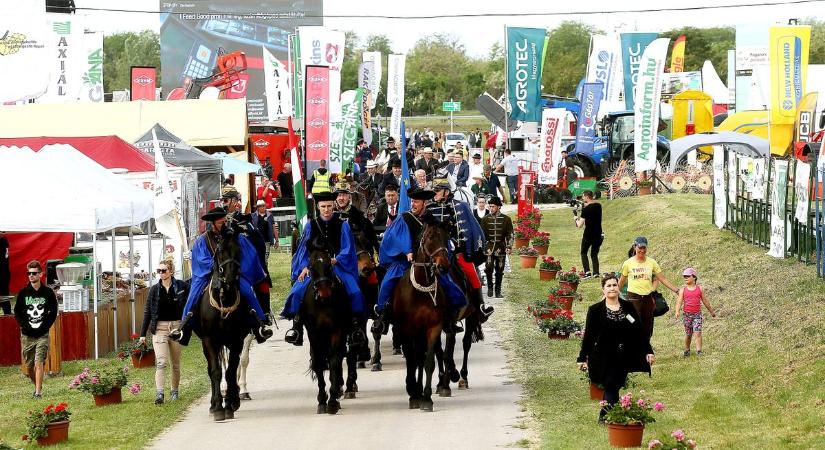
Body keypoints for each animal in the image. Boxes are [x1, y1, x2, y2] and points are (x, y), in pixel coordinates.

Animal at [195, 229, 249, 422]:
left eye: (239, 251)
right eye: (219, 251)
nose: (231, 280)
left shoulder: (236, 340)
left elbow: (231, 371)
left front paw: (231, 404)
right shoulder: (209, 340)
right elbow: (216, 371)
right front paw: (218, 407)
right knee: (212, 369)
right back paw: (213, 404)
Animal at [302, 244, 354, 414]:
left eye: (329, 265)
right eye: (311, 266)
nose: (324, 291)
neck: (323, 303)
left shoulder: (337, 331)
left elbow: (334, 361)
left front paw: (332, 401)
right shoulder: (313, 333)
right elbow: (318, 363)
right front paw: (321, 400)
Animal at [388, 221, 450, 412]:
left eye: (446, 237)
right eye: (430, 238)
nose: (443, 266)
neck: (422, 289)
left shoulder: (433, 327)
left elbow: (428, 362)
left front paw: (427, 398)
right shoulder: (408, 330)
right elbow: (412, 359)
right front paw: (414, 394)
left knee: (422, 358)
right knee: (414, 358)